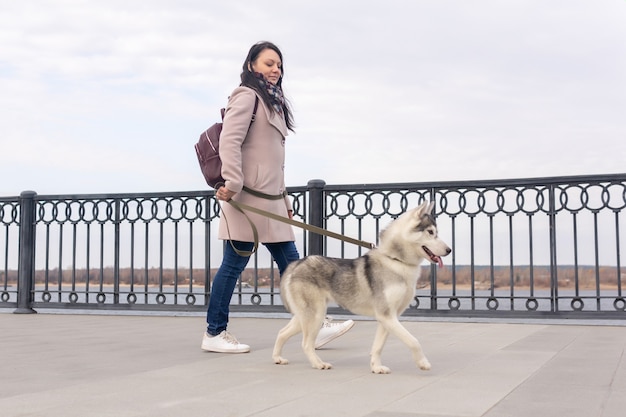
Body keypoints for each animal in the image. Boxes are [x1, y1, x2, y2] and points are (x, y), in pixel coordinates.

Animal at [272, 202, 448, 374]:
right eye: (431, 232)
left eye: (436, 232)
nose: (449, 250)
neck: (395, 260)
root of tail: (297, 263)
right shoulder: (387, 316)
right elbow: (413, 341)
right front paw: (423, 363)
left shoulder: (388, 318)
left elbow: (378, 346)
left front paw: (376, 367)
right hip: (315, 315)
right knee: (306, 344)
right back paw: (318, 364)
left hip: (305, 316)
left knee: (282, 332)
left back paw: (277, 358)